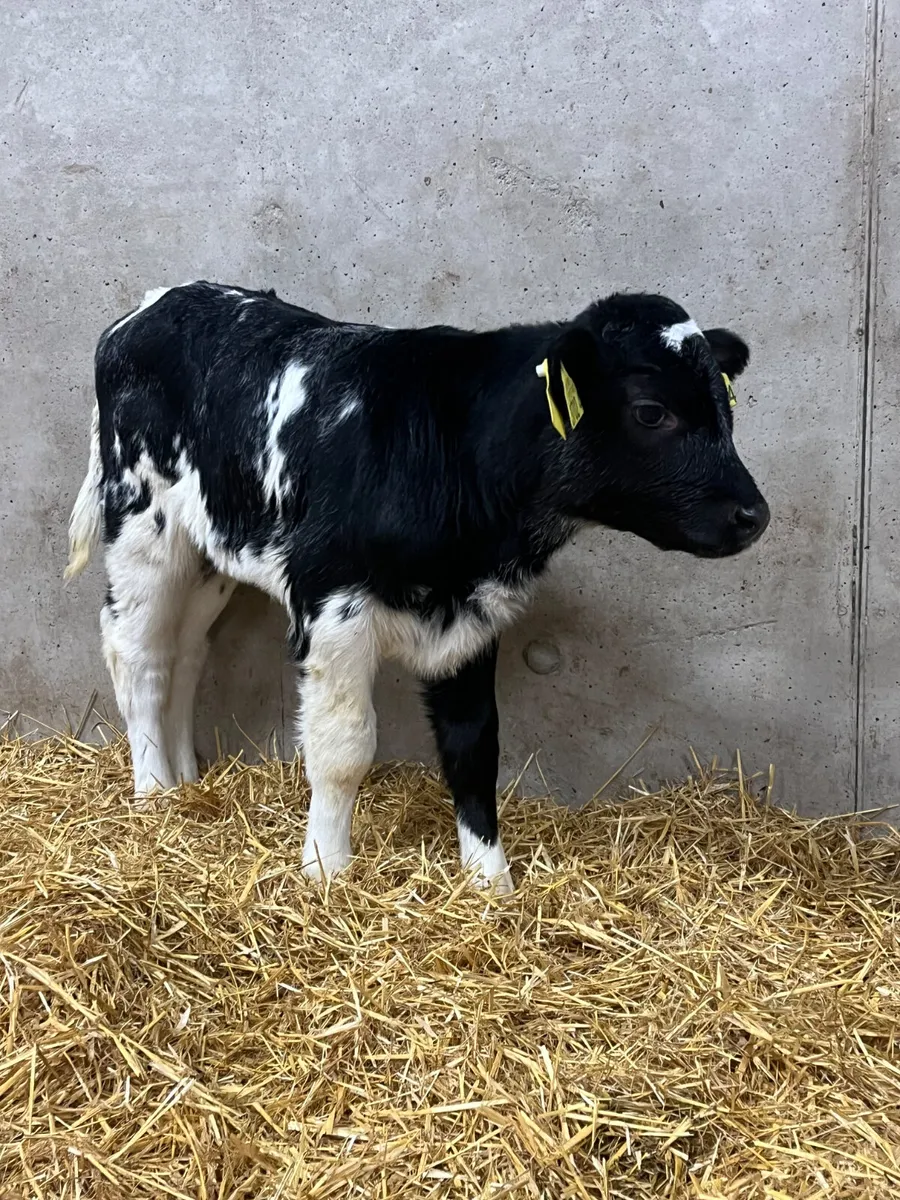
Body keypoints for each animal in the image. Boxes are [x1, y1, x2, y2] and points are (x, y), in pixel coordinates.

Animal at [65, 282, 769, 894]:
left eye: (727, 407)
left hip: (209, 549)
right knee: (138, 654)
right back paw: (153, 794)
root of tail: (154, 304)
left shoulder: (473, 618)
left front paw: (491, 884)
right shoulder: (331, 606)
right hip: (142, 527)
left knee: (185, 652)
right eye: (652, 411)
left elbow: (474, 746)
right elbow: (343, 750)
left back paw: (185, 780)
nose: (754, 515)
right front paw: (326, 871)